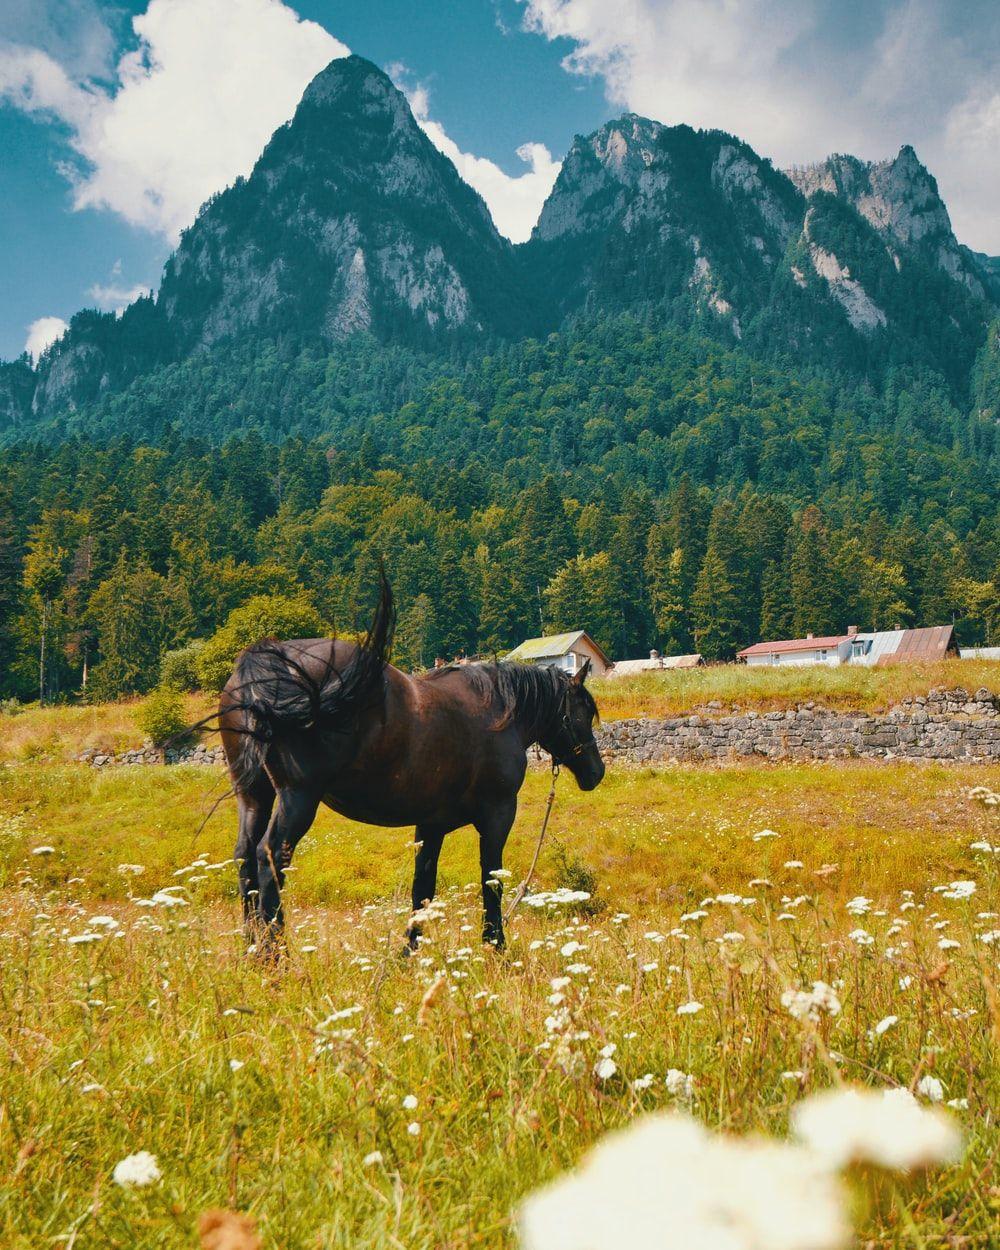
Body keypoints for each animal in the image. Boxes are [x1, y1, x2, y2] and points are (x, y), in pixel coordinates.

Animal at [218, 574, 605, 951]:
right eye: (584, 711)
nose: (596, 772)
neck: (500, 711)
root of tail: (266, 661)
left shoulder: (430, 825)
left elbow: (423, 888)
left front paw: (410, 952)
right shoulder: (497, 816)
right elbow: (491, 880)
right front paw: (495, 945)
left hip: (254, 796)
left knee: (246, 857)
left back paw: (251, 949)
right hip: (298, 798)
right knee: (270, 857)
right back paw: (275, 955)